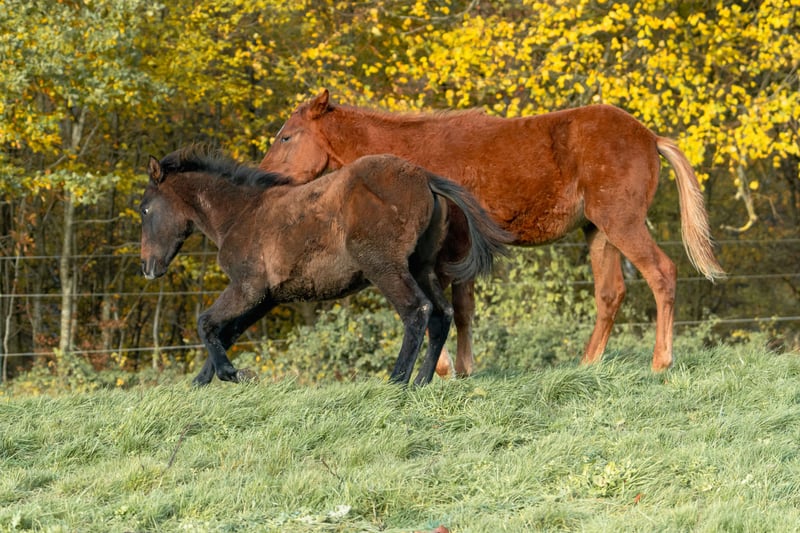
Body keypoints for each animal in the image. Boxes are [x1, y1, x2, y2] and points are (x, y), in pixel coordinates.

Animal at [139, 146, 510, 386]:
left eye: (144, 208)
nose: (147, 267)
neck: (241, 214)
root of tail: (425, 178)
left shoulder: (248, 288)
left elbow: (205, 323)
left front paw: (233, 374)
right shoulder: (267, 297)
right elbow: (226, 332)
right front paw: (201, 385)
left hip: (384, 268)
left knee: (417, 310)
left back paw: (397, 381)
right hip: (421, 267)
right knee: (442, 314)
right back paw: (421, 381)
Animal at [258, 89, 725, 374]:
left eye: (286, 137)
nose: (263, 180)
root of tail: (650, 137)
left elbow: (445, 306)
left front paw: (448, 369)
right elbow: (461, 307)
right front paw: (463, 368)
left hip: (622, 222)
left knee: (662, 274)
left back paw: (661, 362)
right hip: (599, 232)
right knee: (611, 293)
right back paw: (587, 364)